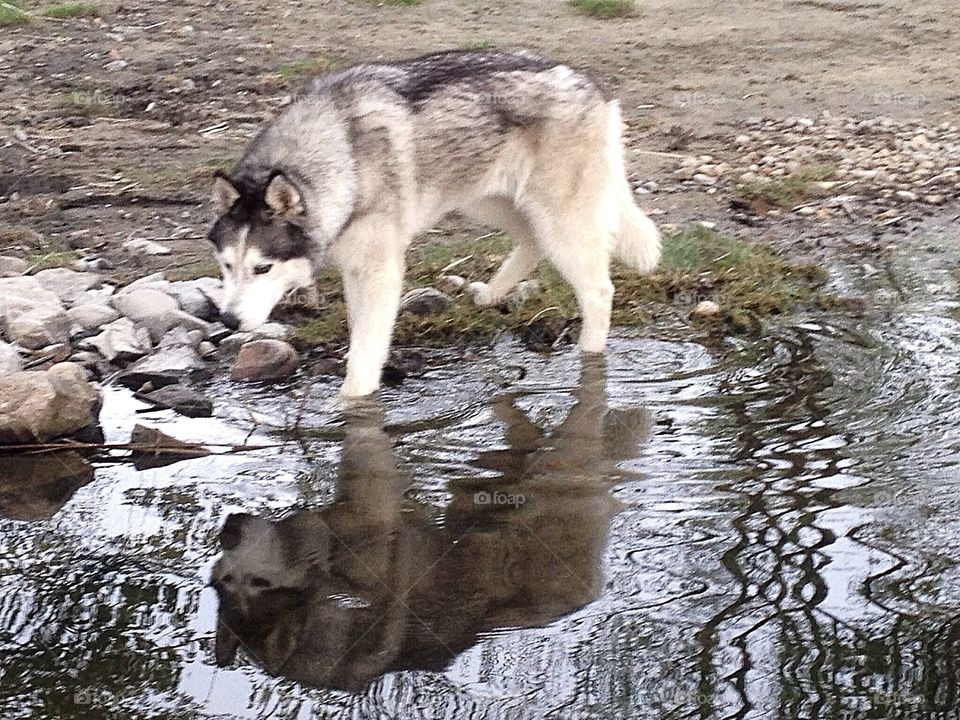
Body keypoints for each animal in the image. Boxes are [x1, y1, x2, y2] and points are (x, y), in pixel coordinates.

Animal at [207, 49, 660, 400]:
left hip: (558, 222)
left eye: (262, 268)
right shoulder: (355, 267)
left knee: (598, 292)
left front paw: (352, 404)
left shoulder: (378, 270)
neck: (342, 156)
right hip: (489, 203)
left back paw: (590, 355)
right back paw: (491, 294)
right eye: (226, 266)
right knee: (531, 243)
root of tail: (592, 86)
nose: (227, 322)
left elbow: (366, 354)